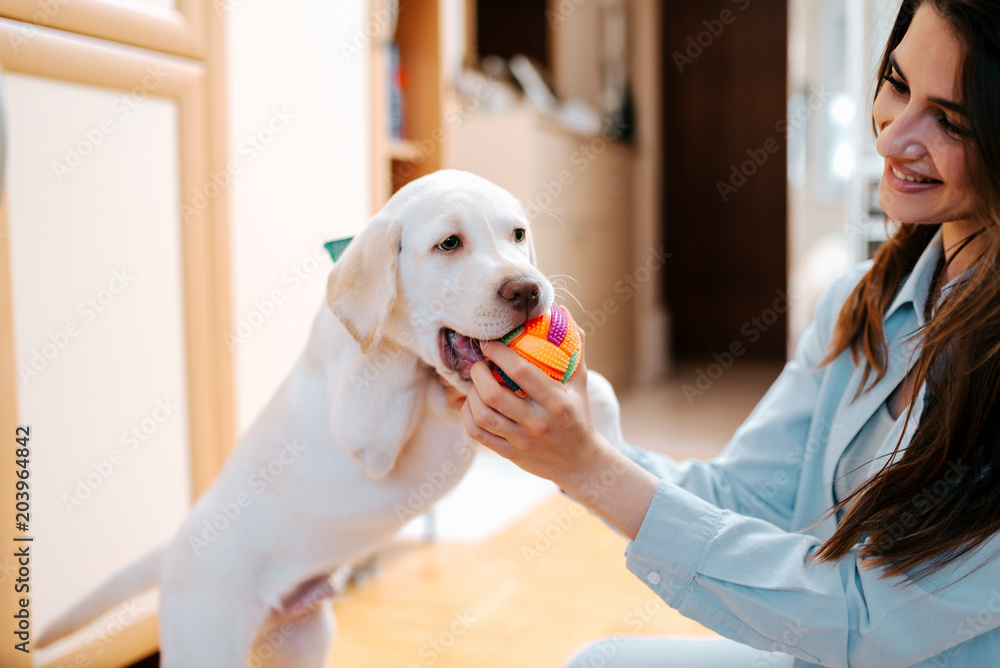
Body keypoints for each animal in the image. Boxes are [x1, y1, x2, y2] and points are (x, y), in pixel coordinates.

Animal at [39, 170, 624, 664]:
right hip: (206, 637)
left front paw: (611, 448)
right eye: (449, 244)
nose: (529, 289)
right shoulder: (367, 431)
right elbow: (407, 376)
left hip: (306, 639)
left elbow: (602, 388)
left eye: (518, 234)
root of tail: (175, 543)